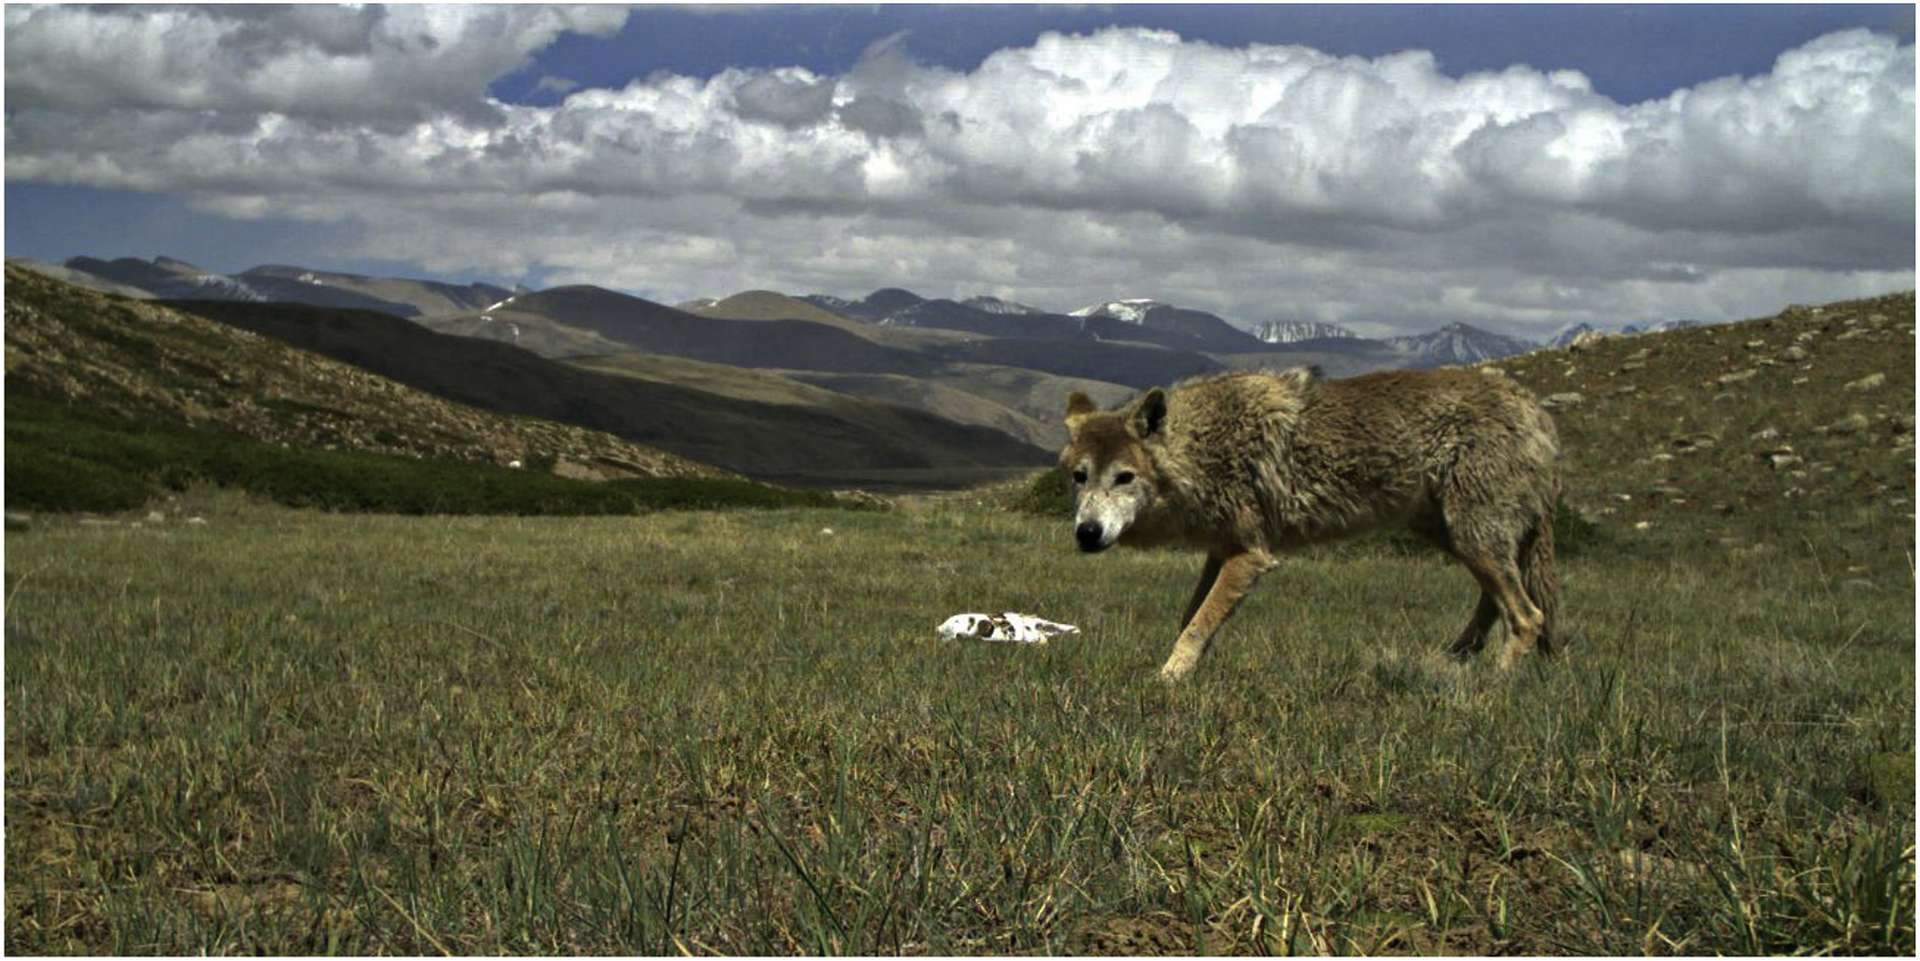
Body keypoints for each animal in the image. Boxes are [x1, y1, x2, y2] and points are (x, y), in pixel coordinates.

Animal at [1067, 362, 1559, 679]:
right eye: (1079, 477)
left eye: (1124, 477)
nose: (1086, 533)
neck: (1202, 450)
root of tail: (1535, 409)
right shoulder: (1221, 551)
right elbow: (1191, 619)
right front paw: (1190, 670)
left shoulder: (1251, 557)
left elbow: (1198, 624)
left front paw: (1167, 681)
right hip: (1458, 538)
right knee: (1496, 604)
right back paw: (1450, 662)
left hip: (1473, 539)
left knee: (1528, 616)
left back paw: (1492, 686)